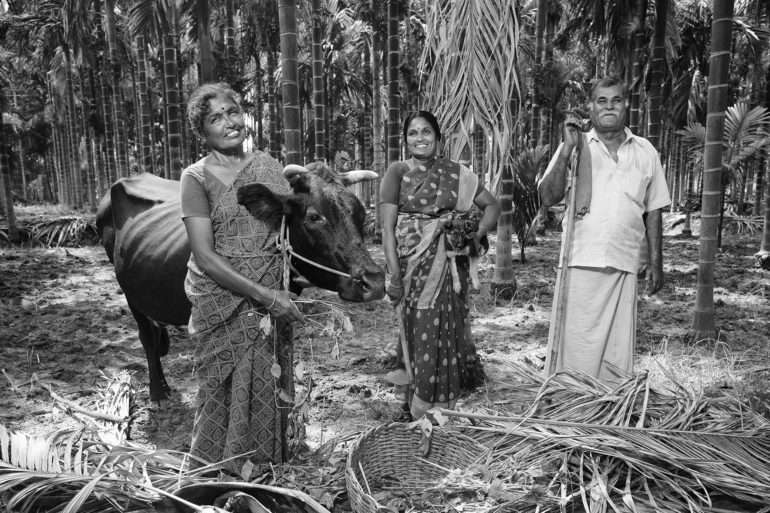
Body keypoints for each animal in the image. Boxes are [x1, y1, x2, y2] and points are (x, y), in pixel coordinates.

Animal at [96, 163, 384, 400]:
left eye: (360, 214)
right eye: (315, 216)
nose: (374, 281)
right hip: (129, 292)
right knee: (147, 336)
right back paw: (157, 392)